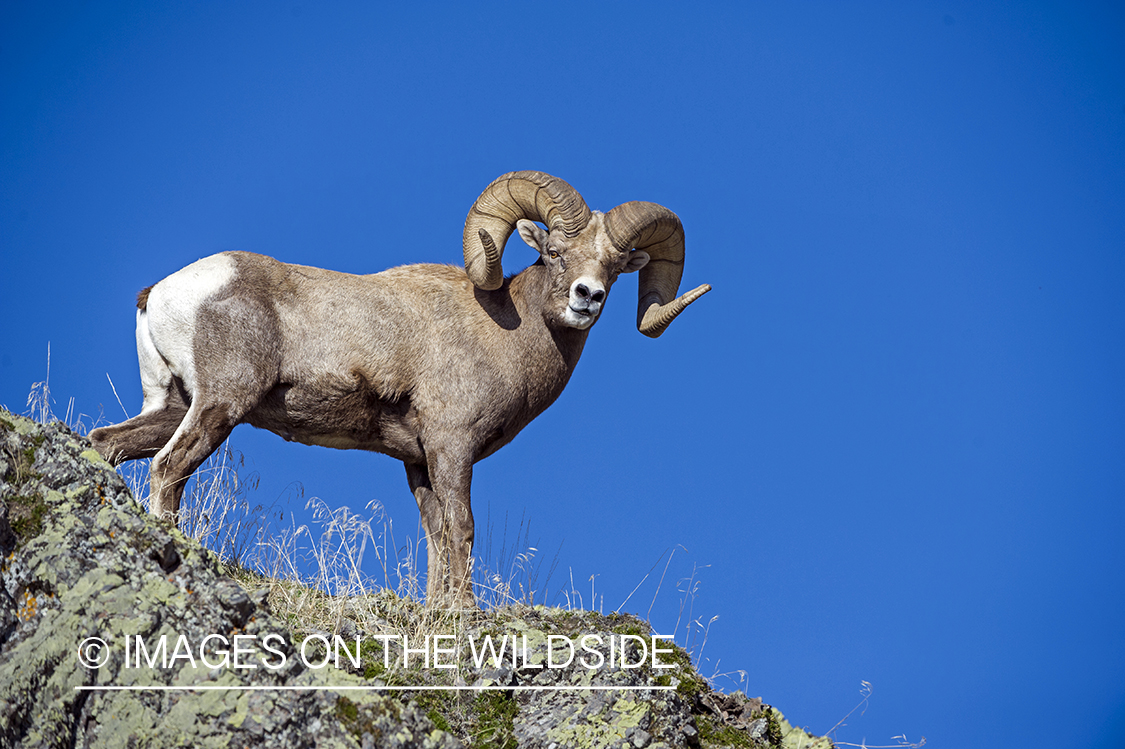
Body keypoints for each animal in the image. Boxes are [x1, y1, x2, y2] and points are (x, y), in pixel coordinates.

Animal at [94, 170, 711, 607]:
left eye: (614, 266)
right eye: (555, 252)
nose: (588, 297)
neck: (504, 333)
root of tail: (163, 293)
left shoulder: (417, 461)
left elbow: (435, 534)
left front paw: (439, 610)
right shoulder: (451, 447)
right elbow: (462, 529)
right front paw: (464, 613)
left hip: (170, 405)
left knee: (110, 444)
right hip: (220, 404)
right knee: (169, 468)